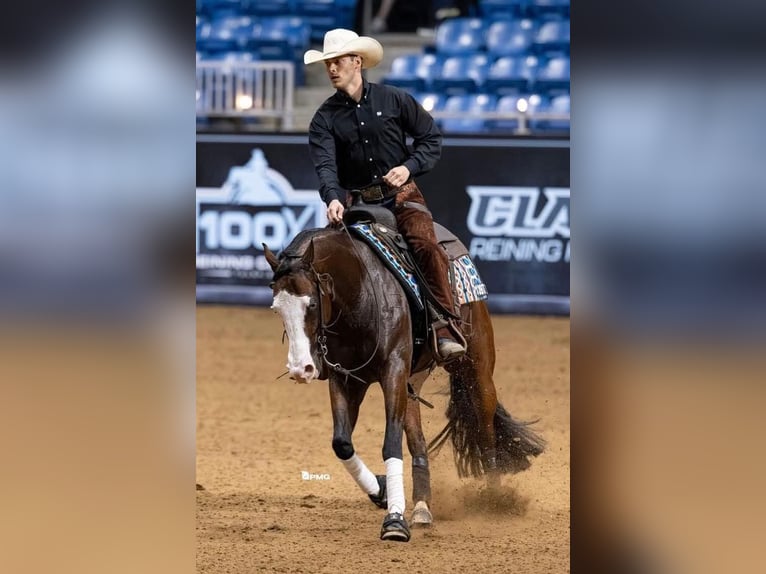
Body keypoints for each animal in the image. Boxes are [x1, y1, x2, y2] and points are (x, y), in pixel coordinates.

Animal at [264, 223, 545, 542]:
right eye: (276, 308)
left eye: (311, 303)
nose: (301, 369)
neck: (359, 292)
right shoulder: (347, 379)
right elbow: (342, 444)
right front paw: (382, 492)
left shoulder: (393, 372)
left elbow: (391, 445)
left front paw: (395, 521)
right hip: (412, 384)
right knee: (418, 440)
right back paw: (422, 507)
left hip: (477, 367)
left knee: (484, 427)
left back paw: (494, 501)